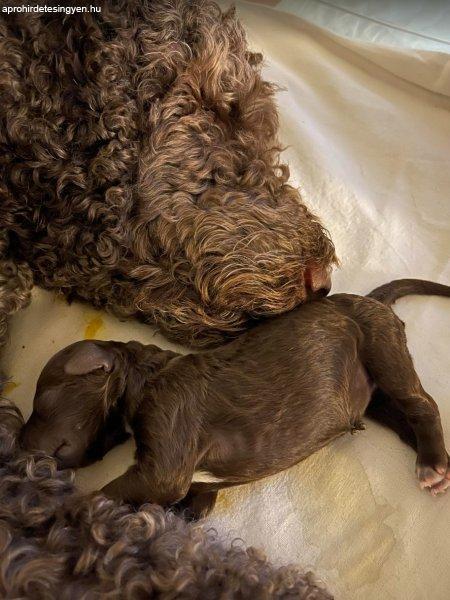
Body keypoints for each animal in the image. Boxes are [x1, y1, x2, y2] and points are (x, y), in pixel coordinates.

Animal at [21, 278, 450, 516]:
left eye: (41, 400)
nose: (19, 446)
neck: (146, 377)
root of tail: (372, 299)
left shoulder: (165, 444)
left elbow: (111, 492)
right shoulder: (192, 483)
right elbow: (192, 502)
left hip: (382, 347)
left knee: (422, 404)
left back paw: (431, 465)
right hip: (374, 396)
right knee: (405, 417)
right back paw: (438, 463)